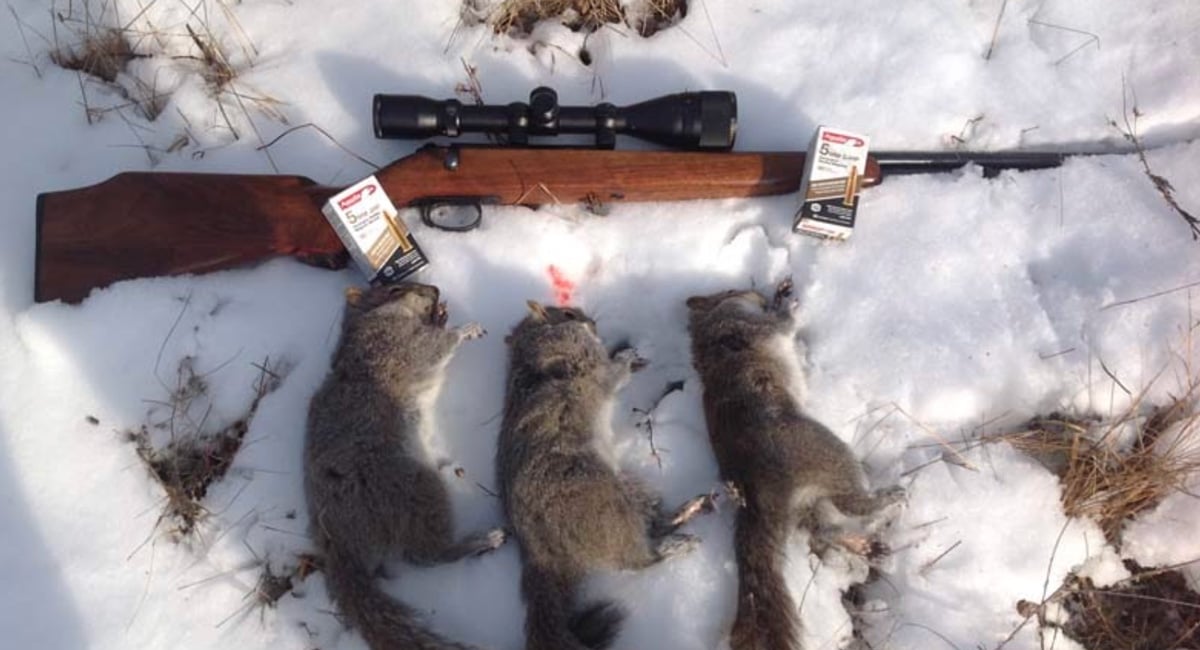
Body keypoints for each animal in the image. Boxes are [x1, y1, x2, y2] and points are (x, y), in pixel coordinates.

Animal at [304, 283, 507, 650]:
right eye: (394, 287)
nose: (435, 289)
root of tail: (339, 541)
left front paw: (442, 315)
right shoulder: (398, 345)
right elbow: (433, 348)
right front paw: (462, 329)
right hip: (411, 488)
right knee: (426, 554)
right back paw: (482, 540)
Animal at [497, 301, 714, 650]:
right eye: (567, 315)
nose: (593, 322)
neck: (530, 345)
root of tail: (539, 552)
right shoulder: (587, 367)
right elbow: (612, 374)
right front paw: (624, 356)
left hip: (631, 490)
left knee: (654, 522)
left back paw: (687, 510)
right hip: (604, 509)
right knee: (638, 559)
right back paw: (675, 544)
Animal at [686, 281, 903, 650]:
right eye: (731, 290)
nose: (758, 295)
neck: (712, 331)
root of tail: (756, 492)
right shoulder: (758, 328)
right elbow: (784, 323)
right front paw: (787, 301)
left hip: (808, 500)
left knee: (823, 529)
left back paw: (859, 543)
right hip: (823, 451)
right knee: (848, 503)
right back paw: (885, 499)